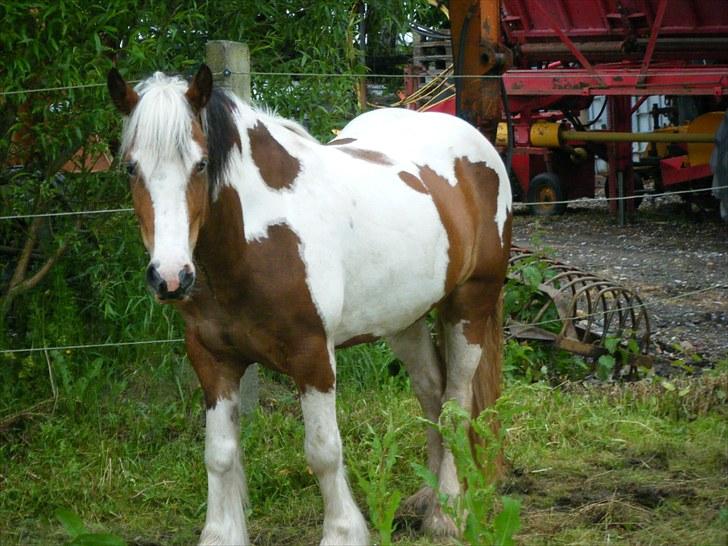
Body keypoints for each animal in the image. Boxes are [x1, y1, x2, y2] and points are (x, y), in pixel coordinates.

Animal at [108, 65, 516, 544]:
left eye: (201, 164)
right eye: (130, 167)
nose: (171, 277)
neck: (255, 240)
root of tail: (476, 142)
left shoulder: (313, 358)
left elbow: (322, 451)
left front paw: (342, 532)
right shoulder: (212, 360)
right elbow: (219, 454)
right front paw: (221, 533)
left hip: (471, 304)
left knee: (455, 403)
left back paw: (448, 513)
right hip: (404, 318)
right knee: (432, 393)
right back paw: (426, 499)